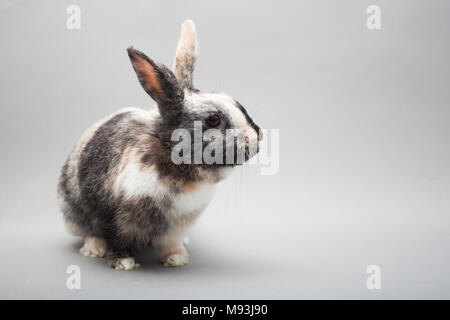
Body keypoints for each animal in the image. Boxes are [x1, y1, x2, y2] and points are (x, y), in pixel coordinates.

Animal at [57, 20, 260, 270]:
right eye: (213, 120)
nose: (258, 138)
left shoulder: (178, 224)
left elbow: (172, 242)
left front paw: (177, 258)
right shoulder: (113, 216)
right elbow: (115, 238)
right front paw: (124, 263)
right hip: (75, 211)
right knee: (89, 231)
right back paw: (94, 249)